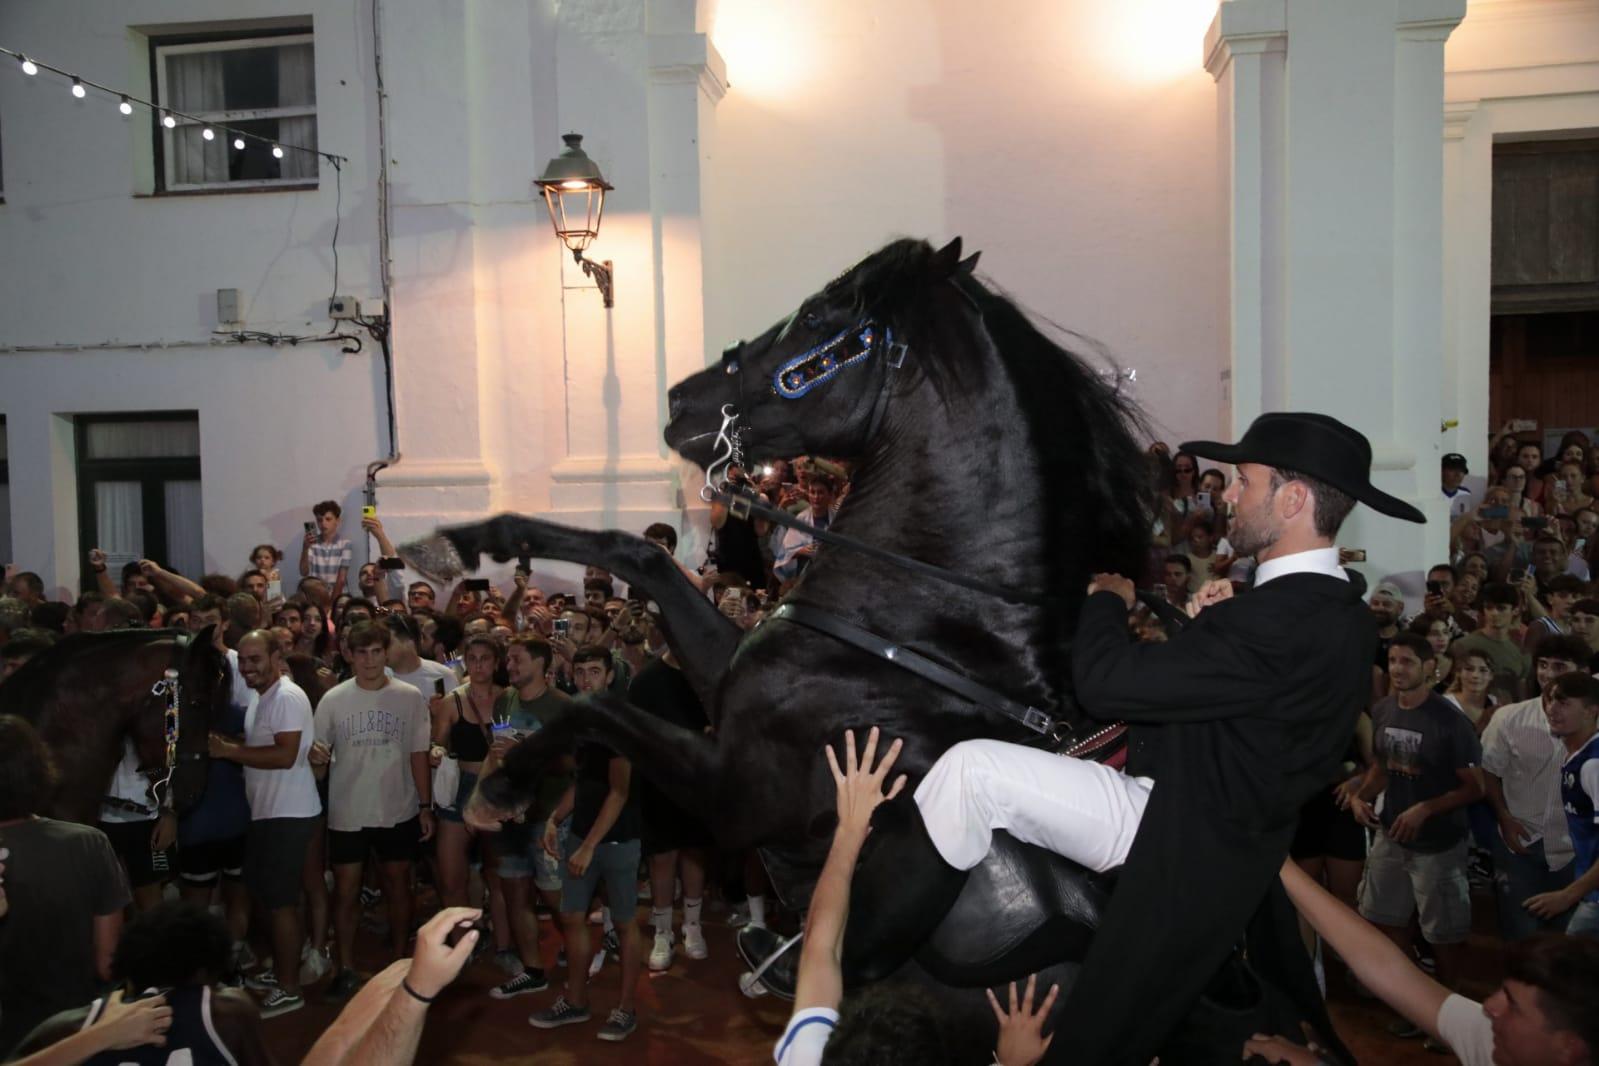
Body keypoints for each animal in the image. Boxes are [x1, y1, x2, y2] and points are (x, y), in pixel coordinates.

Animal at [406, 238, 1330, 1061]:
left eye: (822, 316)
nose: (682, 397)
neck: (910, 637)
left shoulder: (738, 792)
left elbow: (596, 703)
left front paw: (500, 787)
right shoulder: (727, 686)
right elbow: (639, 555)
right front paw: (463, 540)